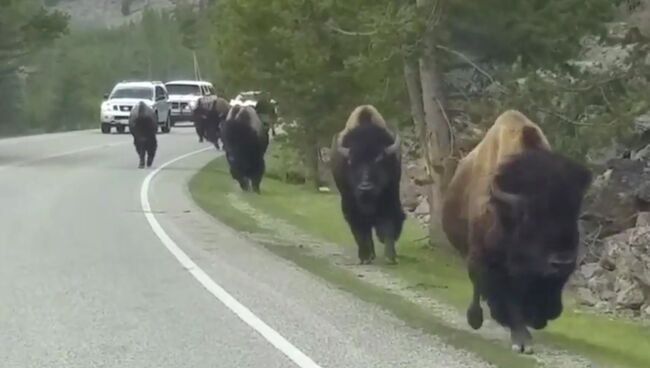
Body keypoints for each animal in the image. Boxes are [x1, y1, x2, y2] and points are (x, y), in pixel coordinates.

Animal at [332, 104, 402, 264]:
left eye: (379, 159)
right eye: (352, 161)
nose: (365, 187)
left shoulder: (390, 199)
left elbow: (388, 226)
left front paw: (390, 257)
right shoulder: (351, 207)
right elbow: (360, 231)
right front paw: (365, 256)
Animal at [440, 109, 588, 354]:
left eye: (574, 215)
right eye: (530, 219)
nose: (562, 261)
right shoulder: (488, 262)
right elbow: (504, 298)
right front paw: (522, 341)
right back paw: (476, 318)